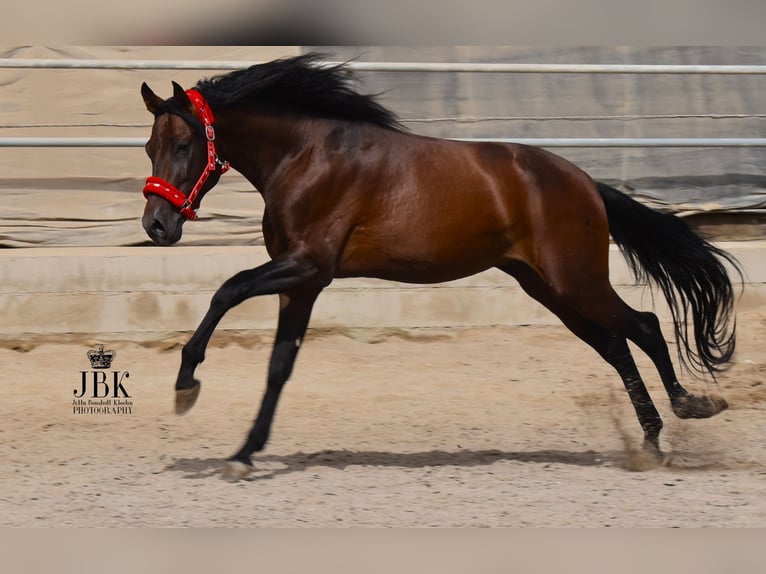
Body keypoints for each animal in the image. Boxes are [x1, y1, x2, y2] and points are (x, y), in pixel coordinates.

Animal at [141, 54, 740, 480]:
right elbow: (278, 367)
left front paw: (186, 382)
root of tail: (586, 183)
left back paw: (688, 409)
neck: (306, 156)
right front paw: (243, 453)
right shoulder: (303, 283)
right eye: (150, 146)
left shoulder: (307, 267)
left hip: (576, 281)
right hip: (546, 288)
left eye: (184, 144)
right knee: (616, 344)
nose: (157, 226)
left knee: (646, 325)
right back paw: (650, 441)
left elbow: (227, 289)